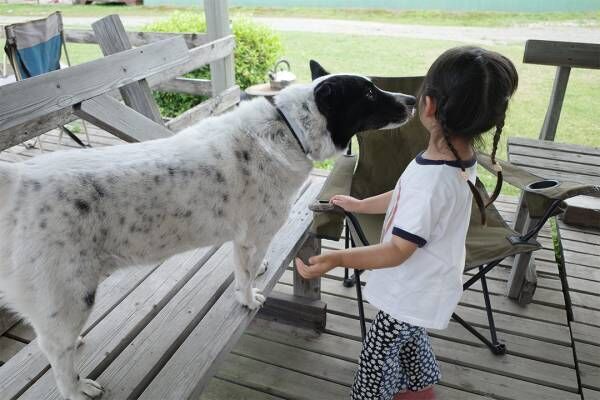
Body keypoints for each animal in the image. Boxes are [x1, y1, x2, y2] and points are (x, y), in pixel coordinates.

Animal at [0, 60, 414, 400]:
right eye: (368, 93)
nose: (411, 99)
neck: (288, 130)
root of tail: (17, 181)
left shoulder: (241, 239)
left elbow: (246, 267)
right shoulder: (253, 235)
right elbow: (245, 278)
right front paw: (249, 299)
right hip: (71, 292)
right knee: (55, 352)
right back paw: (76, 387)